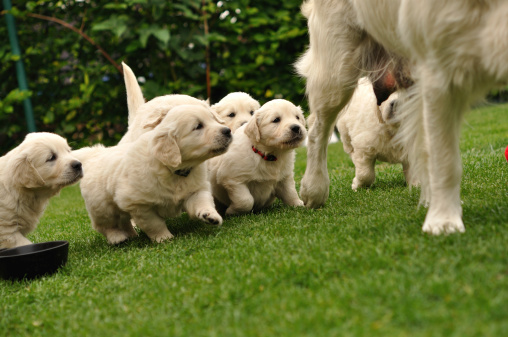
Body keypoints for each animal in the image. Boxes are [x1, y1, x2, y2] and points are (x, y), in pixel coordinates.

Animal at [73, 103, 232, 243]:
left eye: (213, 119)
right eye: (198, 126)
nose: (228, 131)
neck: (175, 171)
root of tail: (95, 153)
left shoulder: (196, 190)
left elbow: (202, 202)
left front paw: (210, 216)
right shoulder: (139, 204)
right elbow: (154, 224)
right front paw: (164, 238)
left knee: (124, 221)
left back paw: (131, 234)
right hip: (102, 207)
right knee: (105, 225)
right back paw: (117, 237)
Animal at [294, 0, 508, 234]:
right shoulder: (438, 70)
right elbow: (444, 159)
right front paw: (443, 221)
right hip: (337, 65)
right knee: (318, 129)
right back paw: (314, 190)